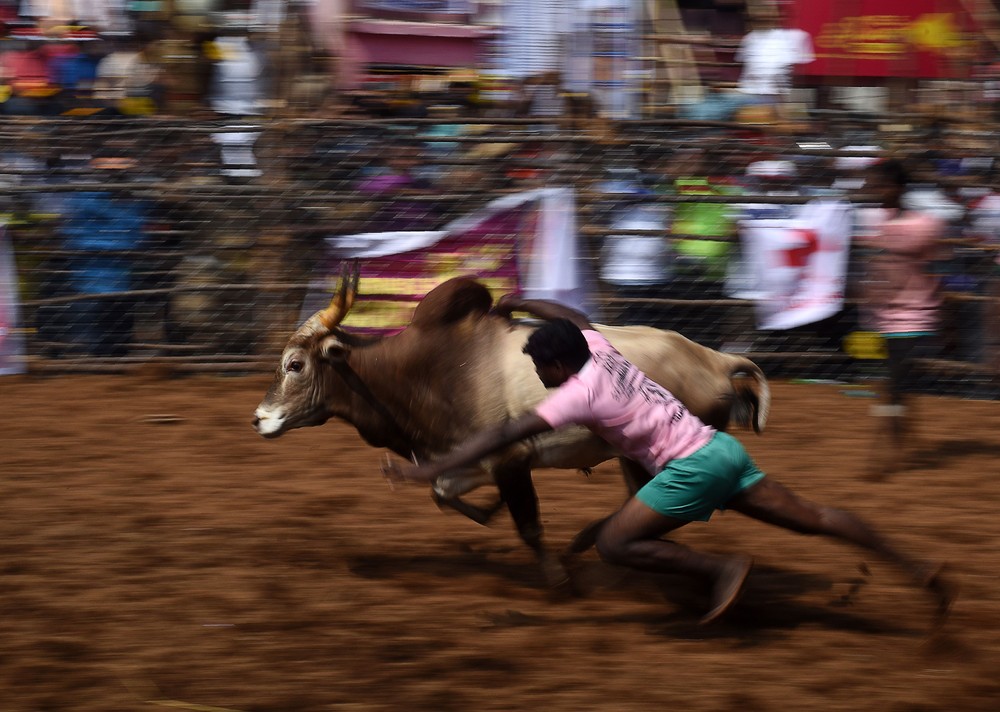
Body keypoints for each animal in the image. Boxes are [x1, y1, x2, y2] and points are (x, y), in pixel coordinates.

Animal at [254, 264, 768, 588]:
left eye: (295, 364)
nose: (259, 419)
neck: (425, 373)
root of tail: (716, 360)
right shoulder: (459, 461)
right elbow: (443, 492)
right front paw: (489, 512)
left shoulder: (510, 459)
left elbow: (528, 526)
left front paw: (558, 580)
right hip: (634, 456)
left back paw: (584, 543)